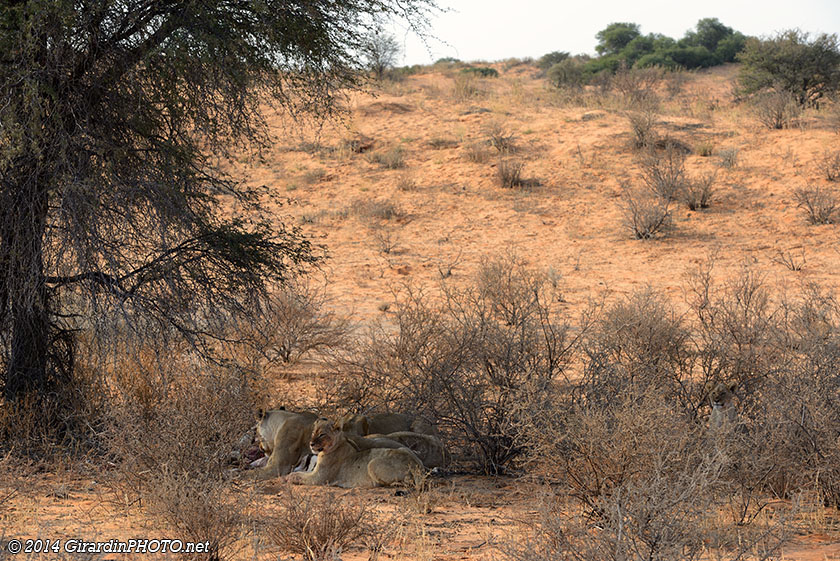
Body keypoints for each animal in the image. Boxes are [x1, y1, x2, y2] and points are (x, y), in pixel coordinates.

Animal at [287, 418, 424, 488]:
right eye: (313, 433)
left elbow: (297, 475)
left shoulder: (318, 478)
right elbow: (299, 473)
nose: (311, 444)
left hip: (372, 463)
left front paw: (287, 477)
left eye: (322, 434)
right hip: (405, 449)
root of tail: (416, 465)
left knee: (406, 482)